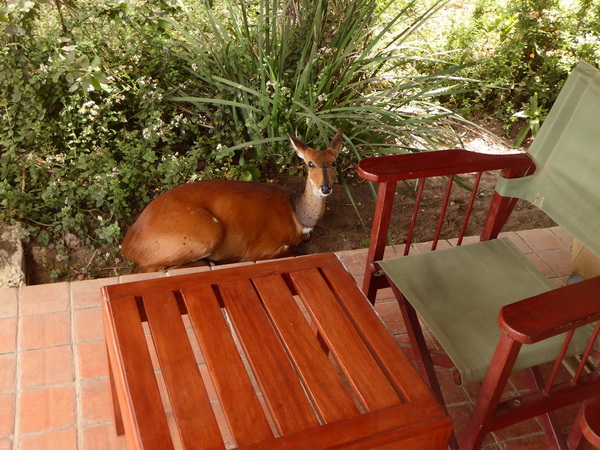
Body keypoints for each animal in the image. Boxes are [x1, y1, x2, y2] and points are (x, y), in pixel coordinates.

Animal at [120, 128, 342, 272]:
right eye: (310, 163)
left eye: (334, 162)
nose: (325, 188)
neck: (297, 214)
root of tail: (128, 246)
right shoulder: (261, 249)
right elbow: (298, 250)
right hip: (206, 231)